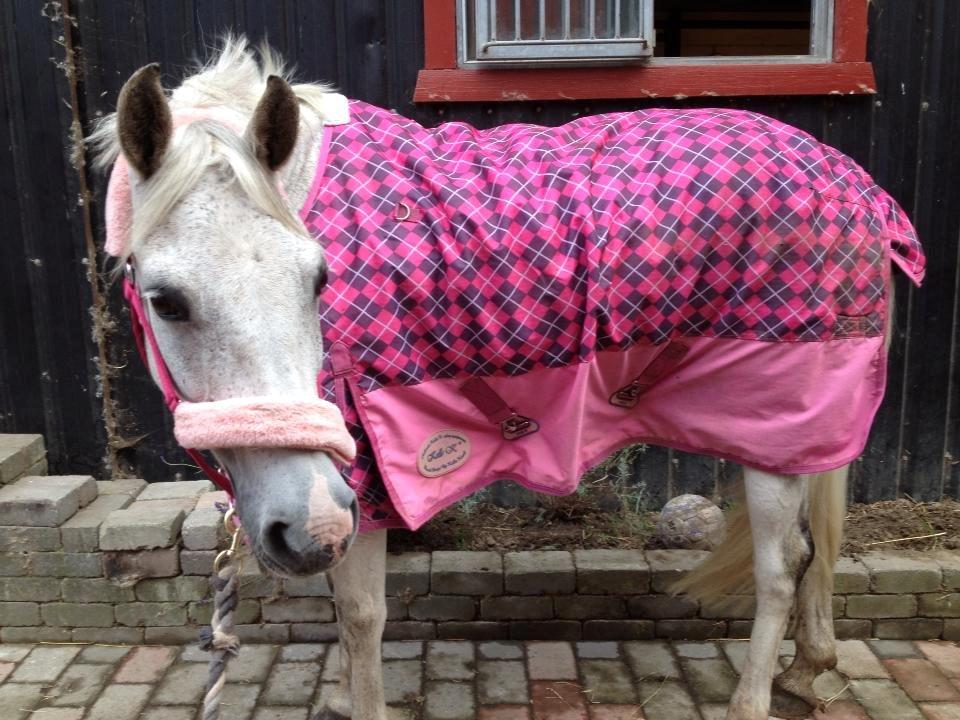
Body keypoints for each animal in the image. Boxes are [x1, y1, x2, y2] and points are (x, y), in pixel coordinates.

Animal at [93, 38, 924, 720]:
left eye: (319, 278)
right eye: (167, 299)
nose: (309, 527)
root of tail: (857, 185)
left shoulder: (362, 486)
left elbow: (360, 619)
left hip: (776, 429)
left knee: (780, 569)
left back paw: (753, 699)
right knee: (814, 551)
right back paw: (808, 671)